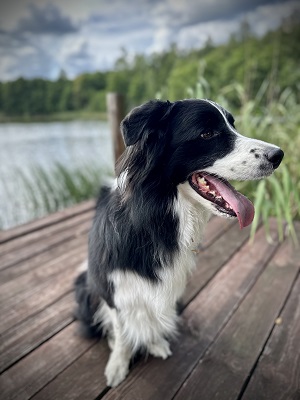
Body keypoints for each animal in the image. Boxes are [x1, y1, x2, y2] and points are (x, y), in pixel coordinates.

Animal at [74, 98, 284, 386]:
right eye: (207, 134)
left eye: (233, 125)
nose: (278, 155)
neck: (154, 217)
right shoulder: (111, 285)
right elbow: (121, 327)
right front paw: (118, 363)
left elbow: (152, 314)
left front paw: (153, 342)